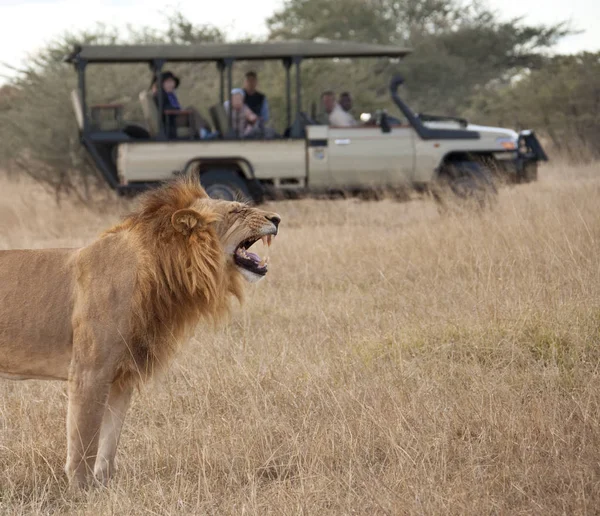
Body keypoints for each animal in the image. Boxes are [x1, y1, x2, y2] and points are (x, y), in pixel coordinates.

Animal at [0, 179, 282, 490]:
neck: (161, 272)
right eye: (236, 210)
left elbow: (109, 442)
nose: (277, 218)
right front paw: (80, 489)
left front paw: (105, 487)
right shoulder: (89, 373)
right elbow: (84, 441)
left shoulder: (122, 376)